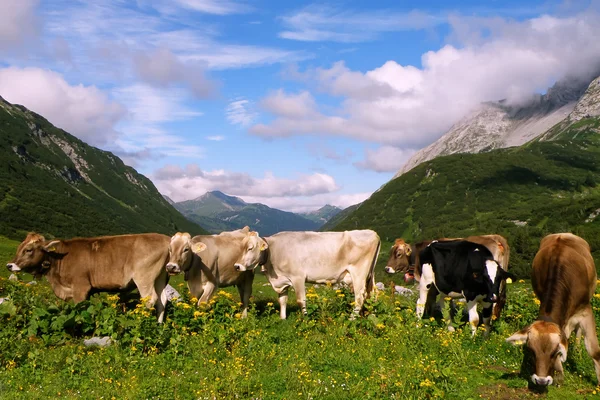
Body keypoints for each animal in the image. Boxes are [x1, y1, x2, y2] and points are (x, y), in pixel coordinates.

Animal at [6, 231, 171, 322]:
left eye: (28, 250)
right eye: (19, 247)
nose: (9, 265)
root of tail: (166, 240)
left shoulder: (81, 287)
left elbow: (79, 309)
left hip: (144, 278)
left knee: (150, 300)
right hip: (160, 278)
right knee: (162, 300)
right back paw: (158, 325)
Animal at [506, 233, 600, 386]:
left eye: (554, 352)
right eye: (532, 351)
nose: (541, 381)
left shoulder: (585, 310)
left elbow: (594, 351)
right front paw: (559, 373)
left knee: (578, 333)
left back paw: (578, 351)